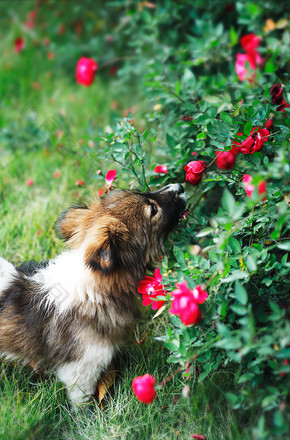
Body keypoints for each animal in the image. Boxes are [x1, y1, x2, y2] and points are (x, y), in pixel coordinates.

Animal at [0, 183, 186, 406]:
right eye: (153, 210)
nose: (179, 186)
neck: (93, 287)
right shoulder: (81, 368)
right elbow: (82, 400)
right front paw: (91, 412)